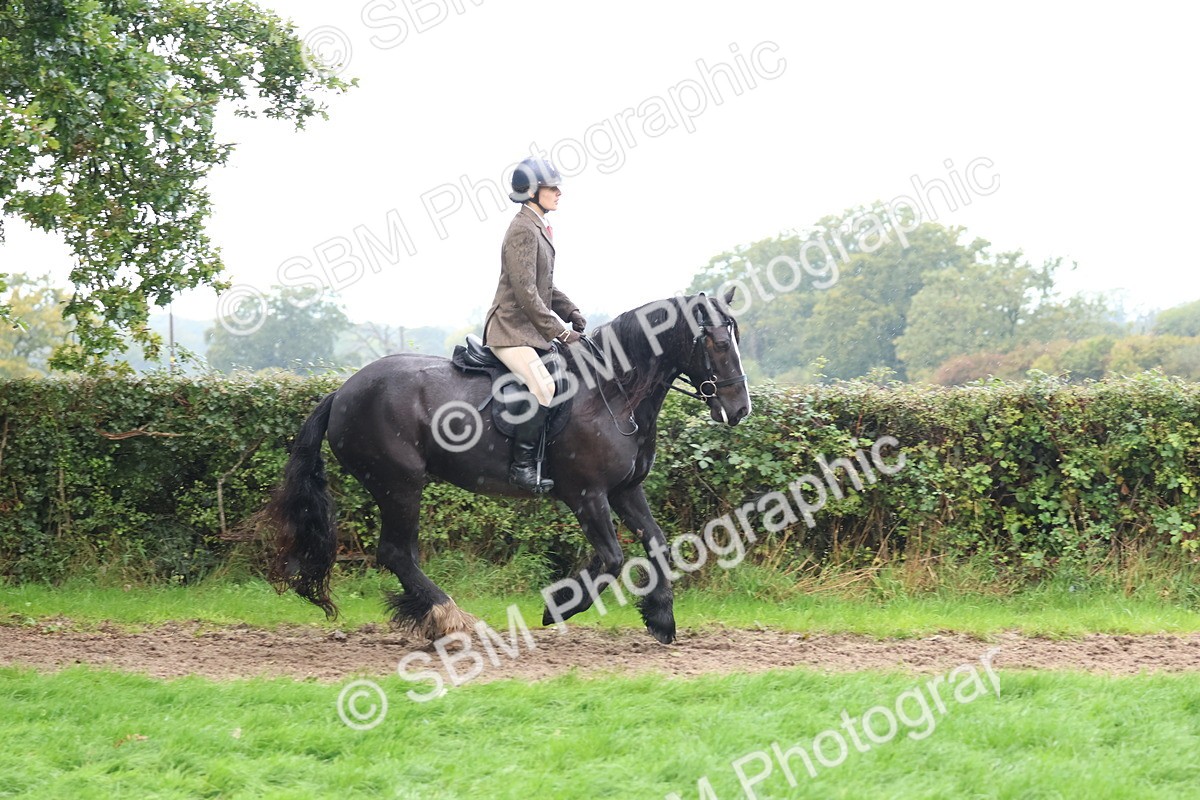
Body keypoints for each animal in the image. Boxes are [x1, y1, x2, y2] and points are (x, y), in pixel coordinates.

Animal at [267, 289, 751, 644]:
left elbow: (657, 543)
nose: (740, 409)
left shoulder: (625, 490)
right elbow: (613, 557)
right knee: (396, 552)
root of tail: (342, 392)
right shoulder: (587, 494)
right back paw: (451, 618)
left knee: (399, 553)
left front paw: (661, 618)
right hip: (399, 484)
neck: (612, 392)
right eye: (717, 342)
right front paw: (559, 606)